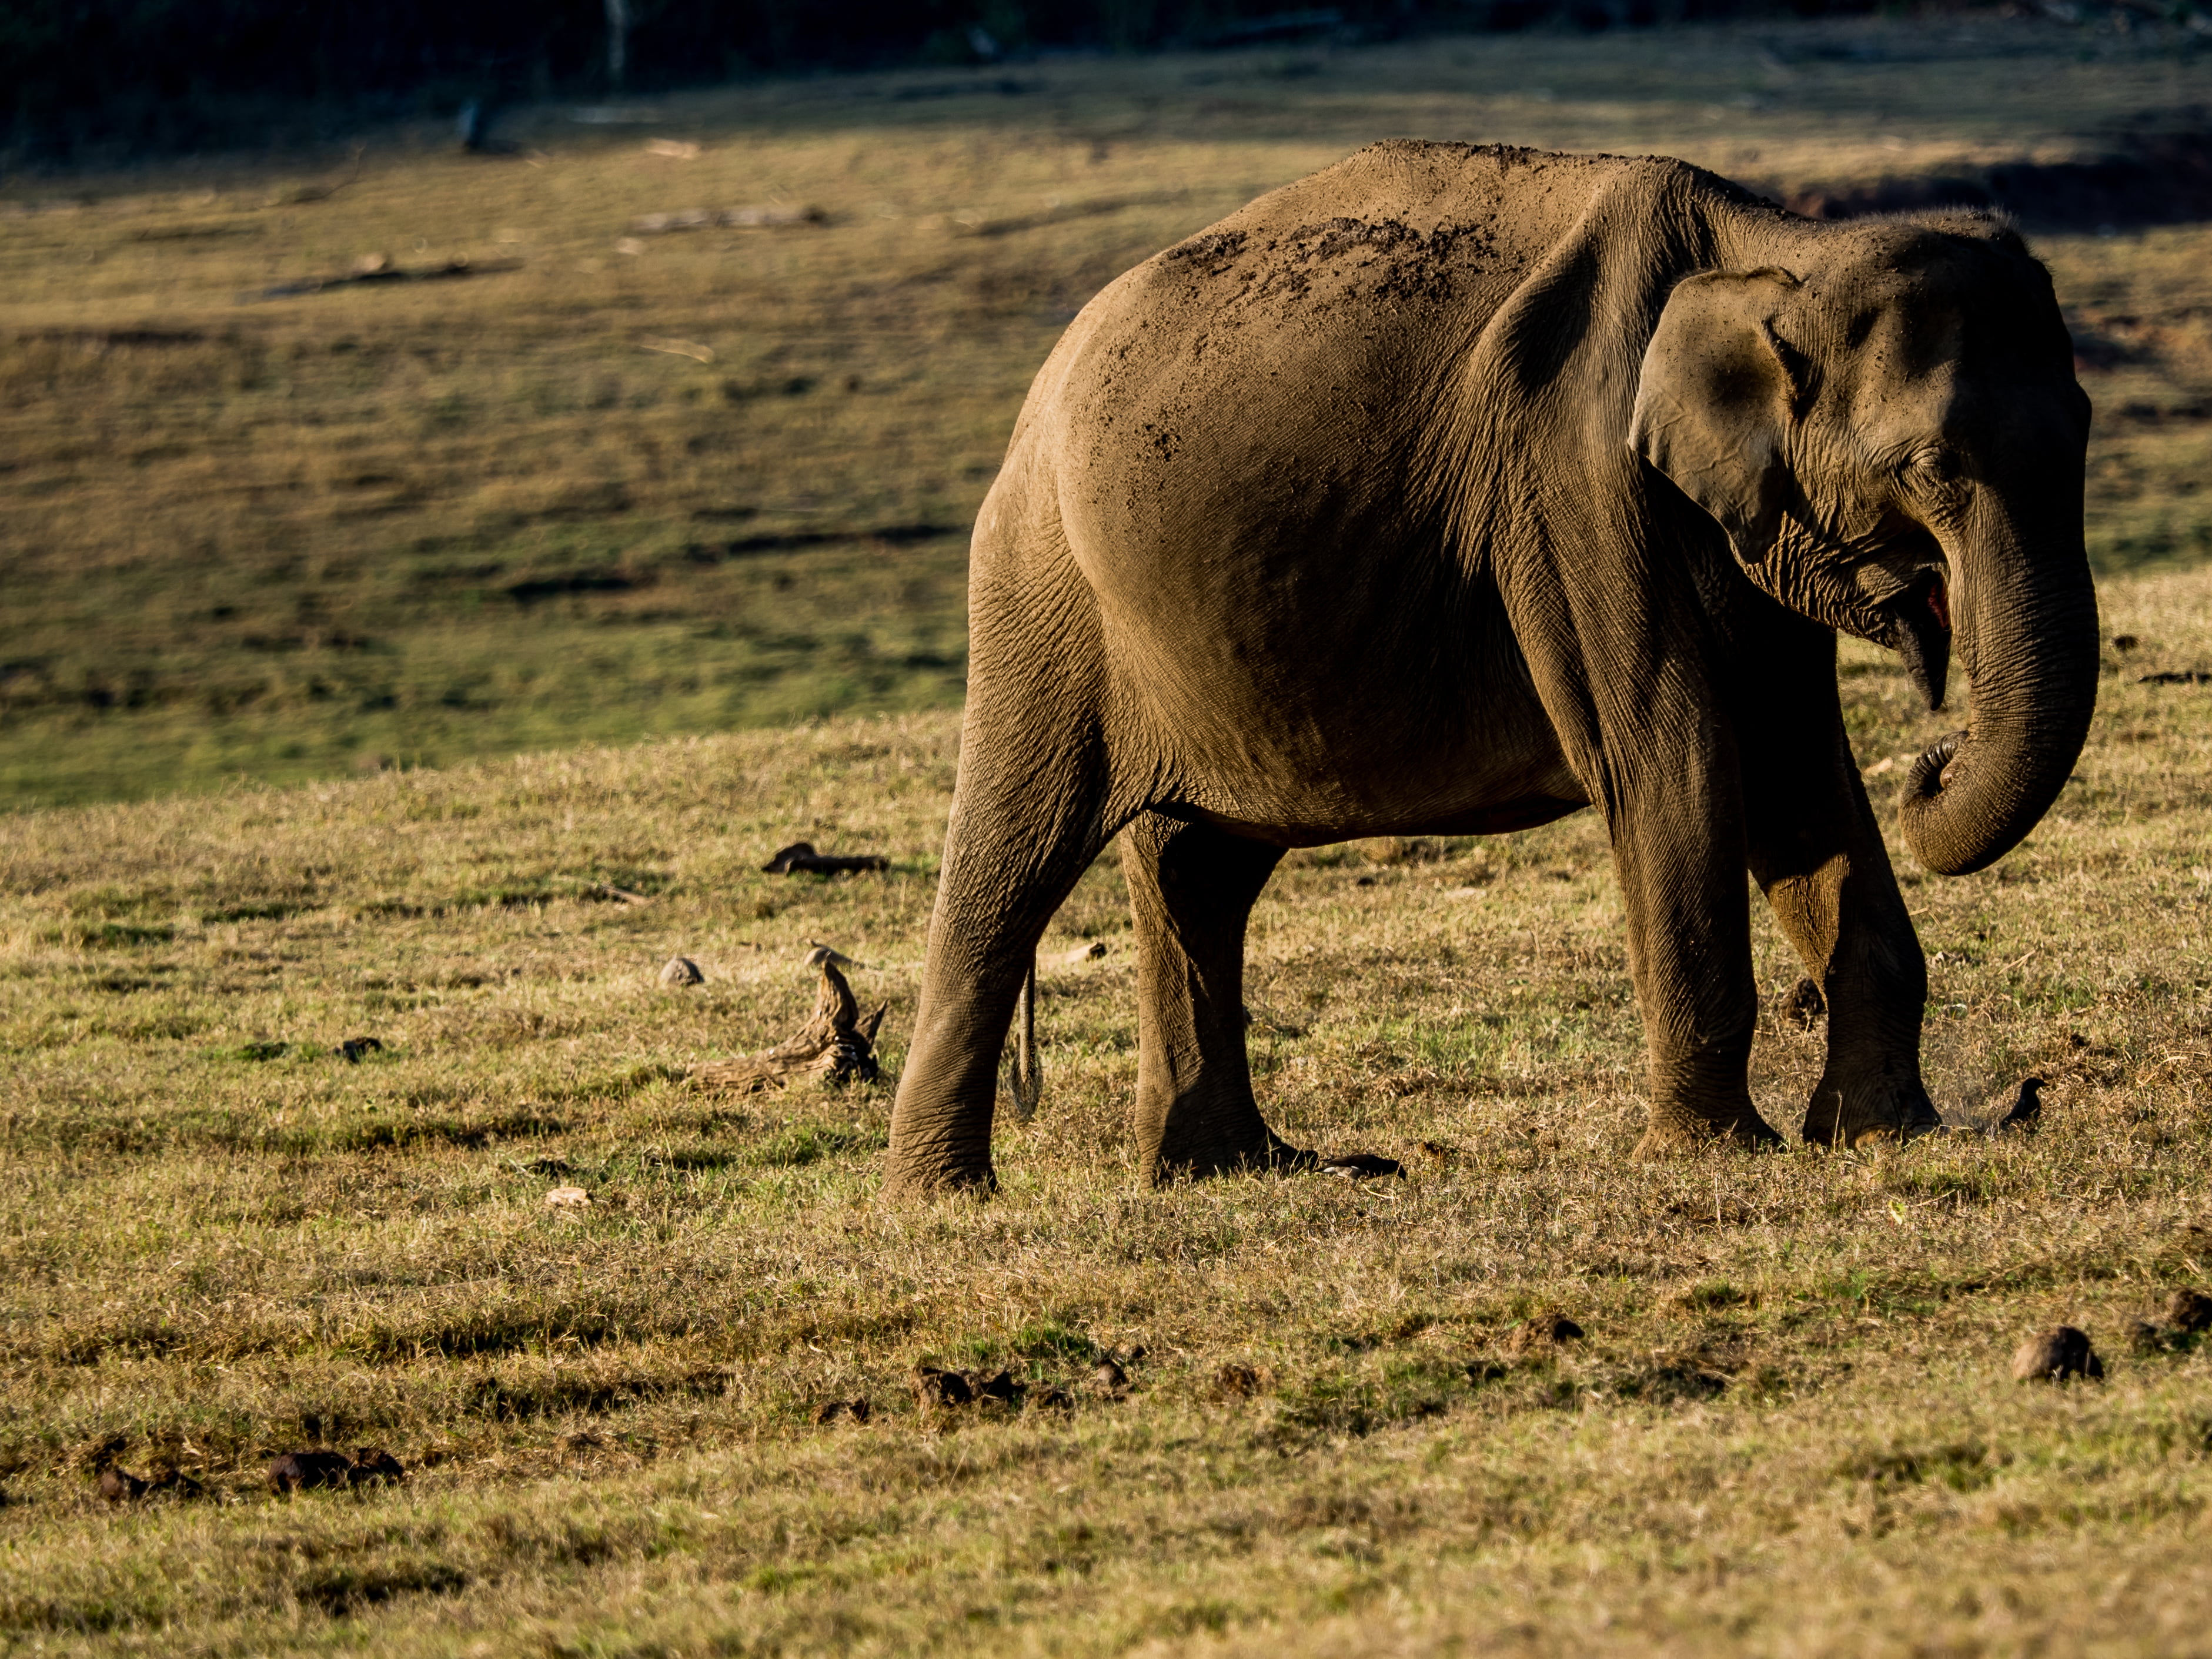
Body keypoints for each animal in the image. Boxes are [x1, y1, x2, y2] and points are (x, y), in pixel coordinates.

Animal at [884, 141, 2098, 1194]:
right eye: (1930, 466)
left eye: (2086, 427)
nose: (1935, 754)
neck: (1774, 247)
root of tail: (1040, 392)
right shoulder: (1577, 485)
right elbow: (1676, 758)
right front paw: (1712, 1153)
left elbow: (1798, 769)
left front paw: (1883, 1131)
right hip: (1040, 597)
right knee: (1011, 862)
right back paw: (948, 1198)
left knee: (1201, 868)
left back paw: (1247, 1169)